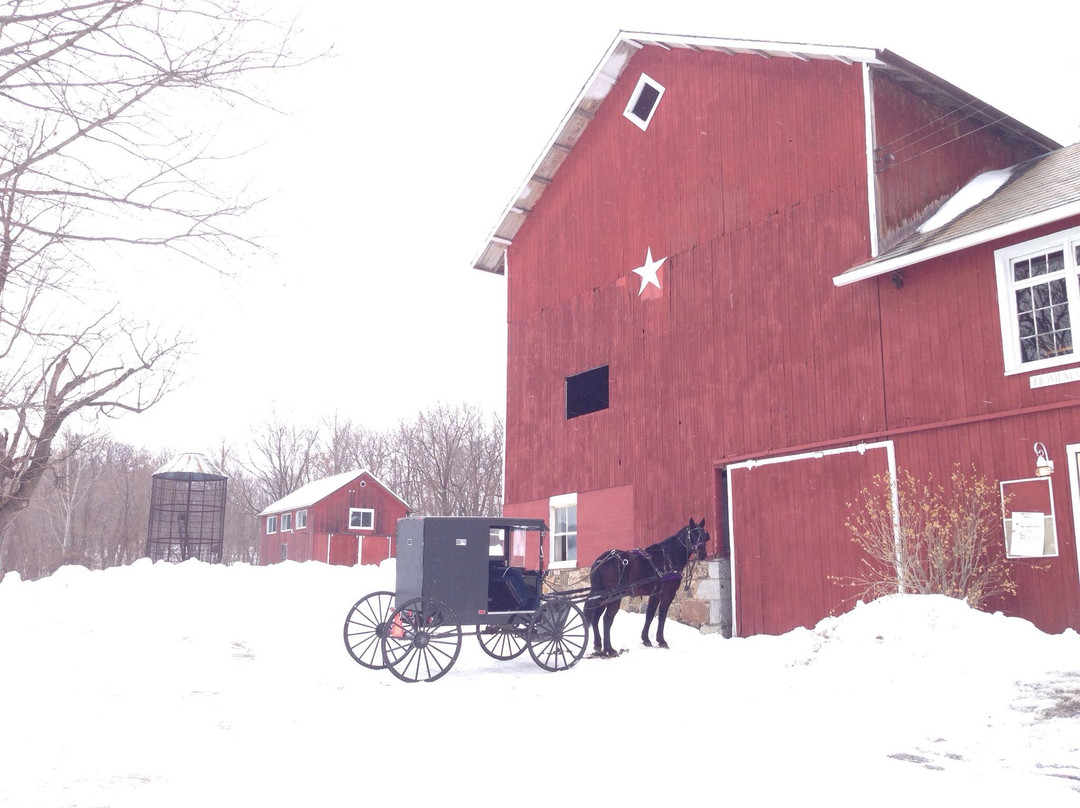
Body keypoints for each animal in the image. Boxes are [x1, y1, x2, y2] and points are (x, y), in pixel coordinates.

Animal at [583, 520, 708, 661]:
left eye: (704, 535)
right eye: (693, 535)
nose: (703, 554)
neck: (668, 556)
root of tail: (601, 560)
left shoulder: (655, 594)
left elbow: (649, 615)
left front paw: (646, 639)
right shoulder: (667, 594)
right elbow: (662, 616)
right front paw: (661, 641)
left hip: (603, 597)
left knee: (595, 618)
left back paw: (598, 645)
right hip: (614, 596)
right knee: (607, 619)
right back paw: (610, 649)